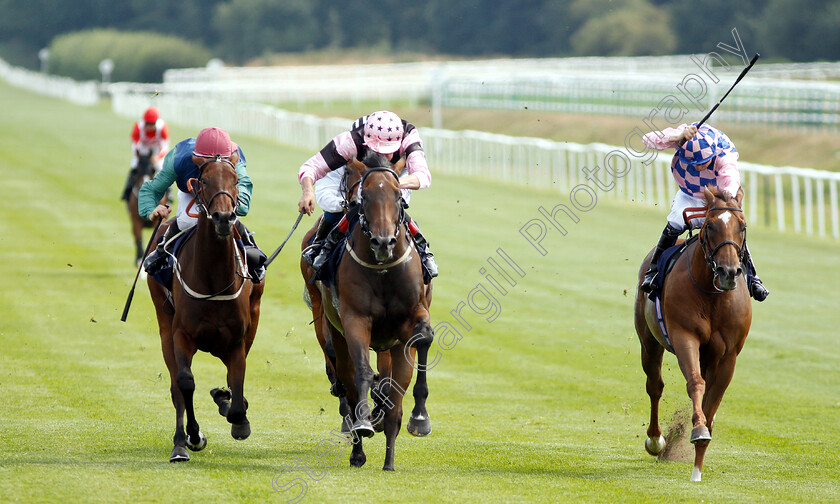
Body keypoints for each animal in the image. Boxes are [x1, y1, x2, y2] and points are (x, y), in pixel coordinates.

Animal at [145, 152, 262, 462]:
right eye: (205, 181)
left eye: (235, 180)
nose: (224, 218)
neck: (213, 280)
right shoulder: (181, 335)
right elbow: (185, 383)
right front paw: (193, 436)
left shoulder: (236, 339)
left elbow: (237, 385)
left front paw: (235, 414)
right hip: (164, 323)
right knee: (176, 387)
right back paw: (180, 444)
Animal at [300, 155, 434, 472]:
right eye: (366, 196)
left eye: (398, 196)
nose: (383, 242)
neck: (382, 270)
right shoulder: (354, 320)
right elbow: (361, 369)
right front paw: (363, 421)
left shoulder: (412, 316)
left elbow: (424, 338)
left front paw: (420, 418)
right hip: (330, 325)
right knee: (346, 380)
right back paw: (358, 447)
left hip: (391, 344)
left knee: (392, 395)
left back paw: (389, 457)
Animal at [632, 185, 752, 480]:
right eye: (709, 226)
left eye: (742, 227)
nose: (728, 272)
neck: (712, 295)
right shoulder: (685, 337)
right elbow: (695, 383)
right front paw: (697, 431)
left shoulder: (728, 356)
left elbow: (713, 399)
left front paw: (697, 467)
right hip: (649, 342)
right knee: (654, 385)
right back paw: (655, 440)